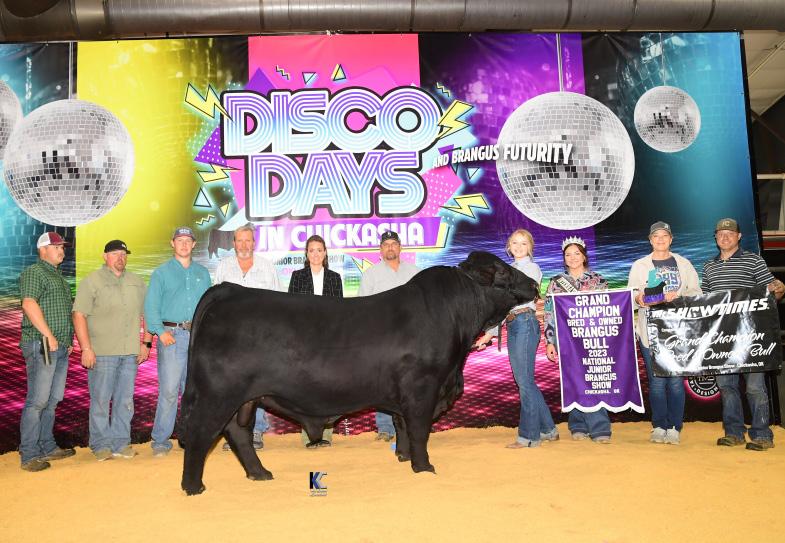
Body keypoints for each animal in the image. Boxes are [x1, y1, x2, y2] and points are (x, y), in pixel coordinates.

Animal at [179, 251, 538, 495]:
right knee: (200, 434)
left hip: (244, 399)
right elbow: (419, 430)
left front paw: (403, 458)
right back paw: (194, 487)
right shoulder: (423, 387)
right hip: (218, 393)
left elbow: (402, 426)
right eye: (503, 270)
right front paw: (424, 468)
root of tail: (228, 289)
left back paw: (259, 473)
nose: (535, 283)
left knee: (237, 433)